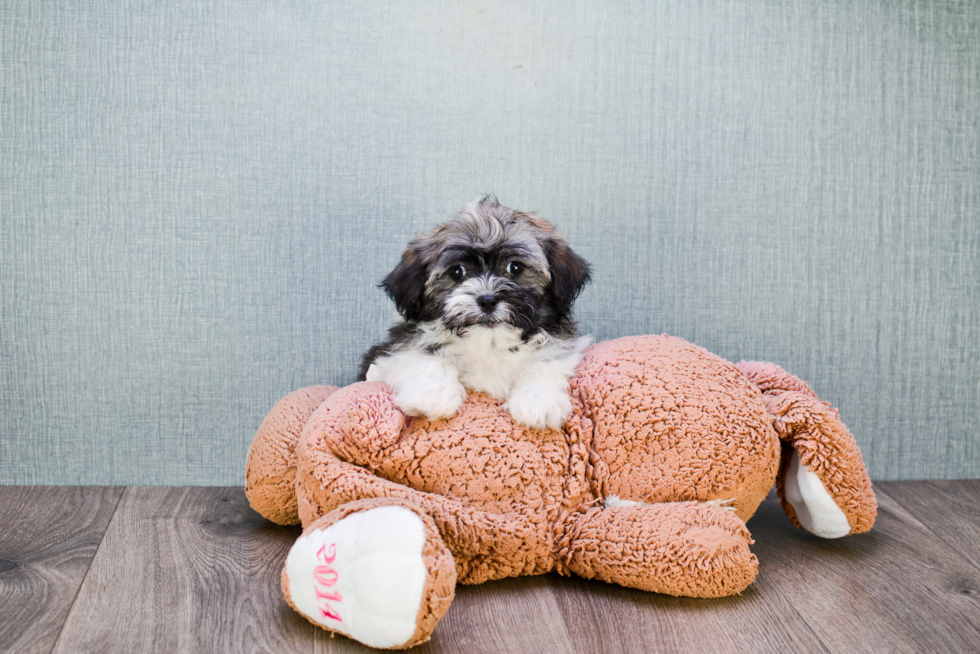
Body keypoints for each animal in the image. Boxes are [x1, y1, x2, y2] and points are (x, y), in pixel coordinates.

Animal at [360, 196, 588, 430]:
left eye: (514, 268)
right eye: (457, 271)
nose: (487, 300)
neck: (490, 344)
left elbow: (545, 363)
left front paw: (538, 401)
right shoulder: (395, 348)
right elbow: (424, 358)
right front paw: (432, 396)